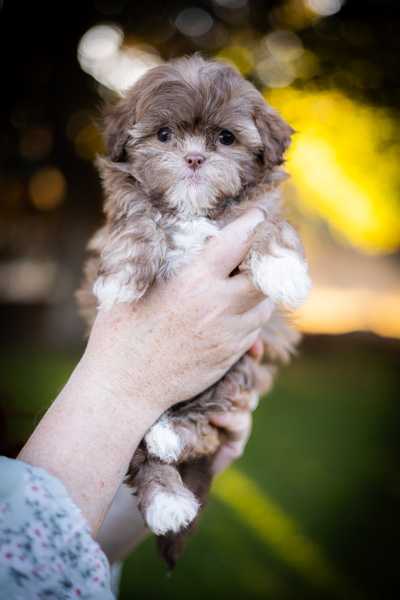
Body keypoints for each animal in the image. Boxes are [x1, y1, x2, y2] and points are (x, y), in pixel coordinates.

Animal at [76, 55, 312, 572]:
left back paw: (169, 439)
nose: (194, 160)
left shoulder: (256, 213)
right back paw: (166, 498)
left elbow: (272, 223)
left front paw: (283, 268)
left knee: (199, 425)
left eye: (225, 138)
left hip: (238, 374)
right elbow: (138, 221)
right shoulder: (122, 212)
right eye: (164, 134)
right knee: (141, 452)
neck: (191, 211)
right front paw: (123, 277)